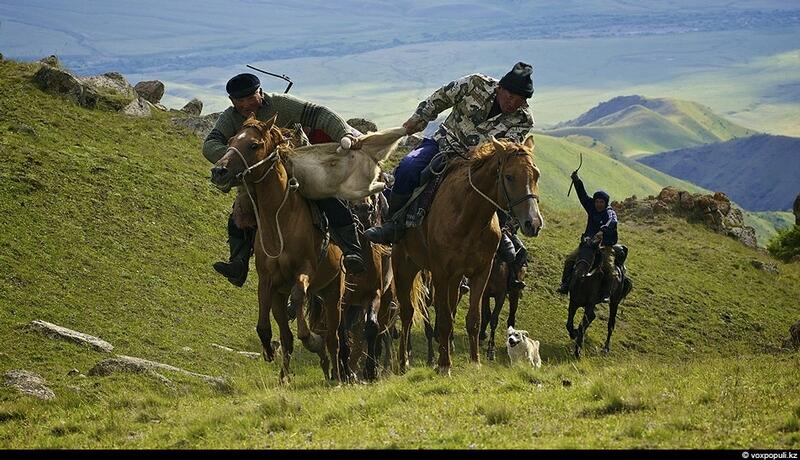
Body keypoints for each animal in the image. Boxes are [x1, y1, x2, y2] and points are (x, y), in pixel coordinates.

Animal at [211, 114, 348, 380]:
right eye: (231, 140)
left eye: (253, 145)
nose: (218, 171)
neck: (280, 219)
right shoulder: (269, 284)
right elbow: (265, 328)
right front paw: (269, 352)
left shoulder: (305, 271)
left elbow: (302, 317)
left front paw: (313, 343)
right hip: (295, 294)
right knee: (288, 336)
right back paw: (288, 377)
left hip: (333, 291)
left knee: (333, 337)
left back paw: (336, 375)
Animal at [392, 136, 544, 374]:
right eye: (509, 176)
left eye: (536, 175)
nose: (533, 223)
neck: (468, 216)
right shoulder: (440, 273)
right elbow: (444, 321)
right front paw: (444, 366)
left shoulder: (481, 273)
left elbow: (474, 319)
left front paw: (475, 362)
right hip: (404, 266)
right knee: (407, 313)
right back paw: (403, 362)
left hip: (455, 279)